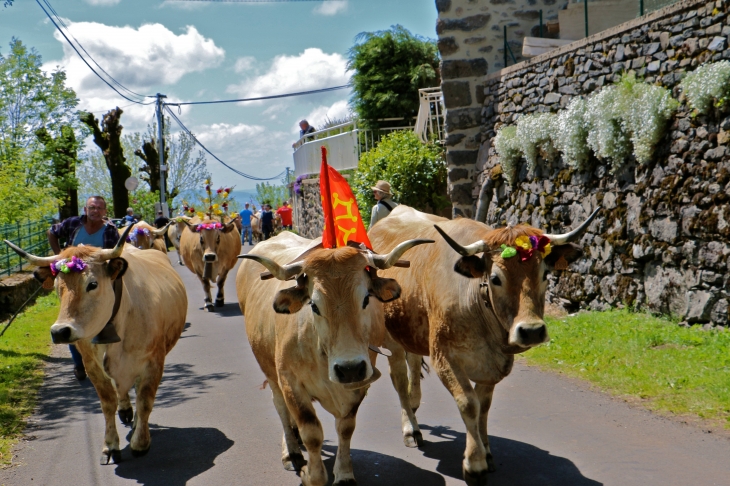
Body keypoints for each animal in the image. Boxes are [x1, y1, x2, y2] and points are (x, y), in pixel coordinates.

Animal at [4, 224, 186, 464]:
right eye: (57, 288)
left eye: (92, 284)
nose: (60, 331)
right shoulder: (92, 366)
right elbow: (108, 402)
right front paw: (110, 446)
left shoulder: (154, 361)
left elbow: (145, 400)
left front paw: (140, 442)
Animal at [236, 232, 430, 486]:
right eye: (314, 305)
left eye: (366, 299)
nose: (349, 368)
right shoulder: (291, 383)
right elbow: (312, 433)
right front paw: (311, 475)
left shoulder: (358, 383)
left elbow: (346, 428)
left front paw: (344, 474)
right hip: (268, 367)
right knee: (280, 406)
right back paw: (291, 451)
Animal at [370, 205, 596, 486]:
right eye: (496, 278)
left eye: (545, 274)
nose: (531, 330)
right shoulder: (445, 357)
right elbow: (469, 404)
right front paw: (474, 464)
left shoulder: (494, 366)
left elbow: (484, 407)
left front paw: (486, 453)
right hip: (392, 340)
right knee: (399, 379)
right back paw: (411, 428)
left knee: (412, 364)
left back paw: (414, 403)